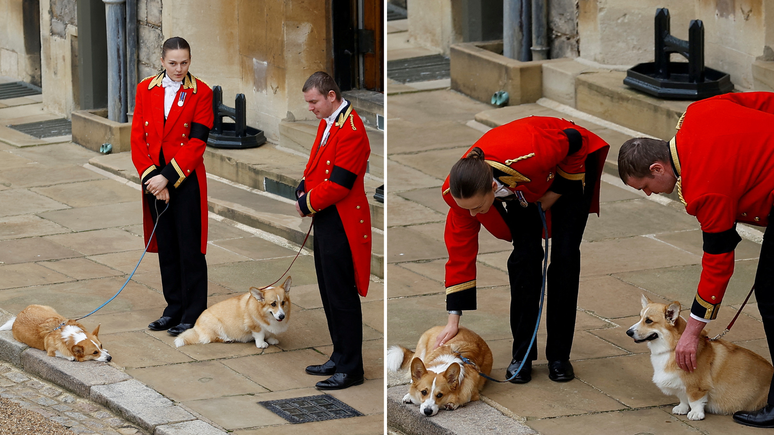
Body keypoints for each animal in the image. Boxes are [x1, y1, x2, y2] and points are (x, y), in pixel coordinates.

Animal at [628, 294, 772, 420]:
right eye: (639, 317)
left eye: (649, 321)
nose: (628, 332)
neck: (672, 348)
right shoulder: (679, 384)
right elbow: (683, 398)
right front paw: (682, 408)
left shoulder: (696, 386)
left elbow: (695, 400)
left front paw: (696, 414)